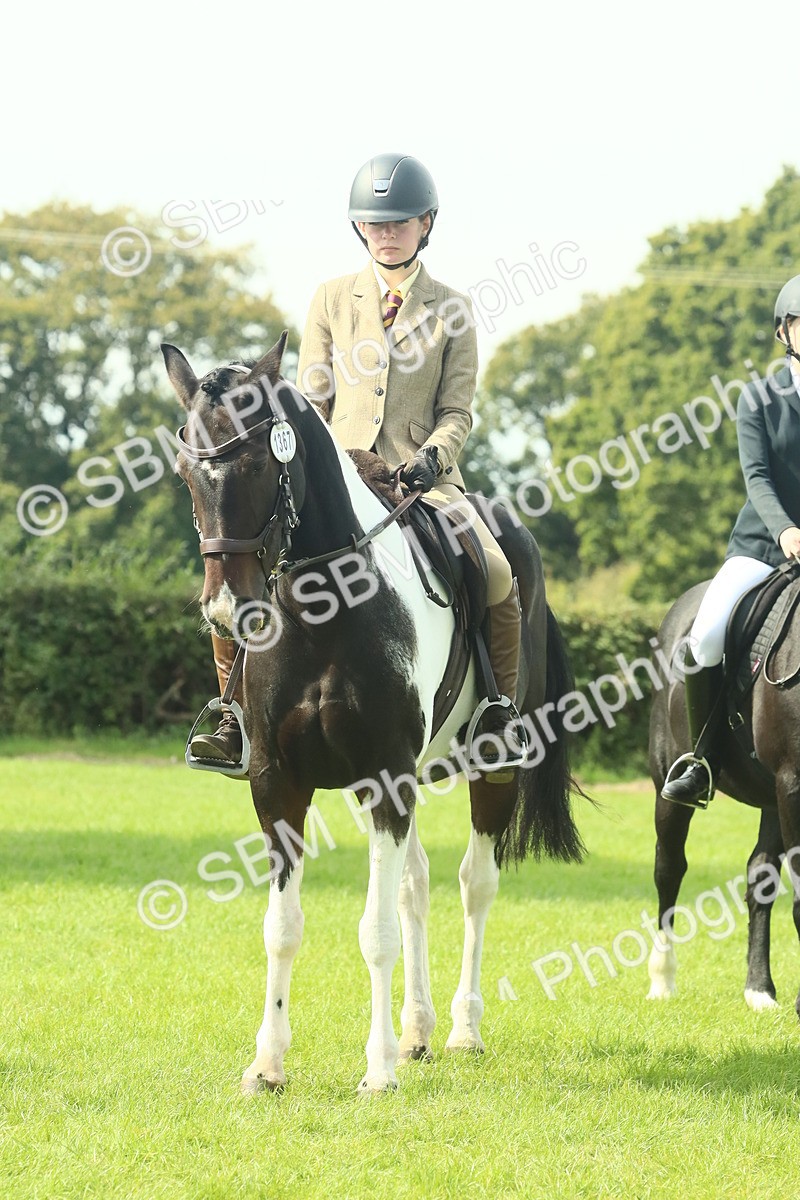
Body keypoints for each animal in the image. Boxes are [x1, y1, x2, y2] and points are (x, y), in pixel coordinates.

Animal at [162, 332, 586, 1094]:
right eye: (187, 471)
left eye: (253, 462)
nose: (226, 610)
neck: (322, 608)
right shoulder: (280, 783)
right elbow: (284, 927)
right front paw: (267, 1064)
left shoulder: (388, 778)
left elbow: (375, 931)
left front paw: (378, 1071)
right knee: (415, 886)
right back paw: (417, 1032)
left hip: (490, 767)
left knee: (474, 886)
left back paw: (460, 1030)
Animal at [647, 576, 800, 1014]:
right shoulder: (793, 783)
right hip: (667, 787)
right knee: (669, 870)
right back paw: (662, 980)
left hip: (772, 799)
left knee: (760, 876)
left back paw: (759, 989)